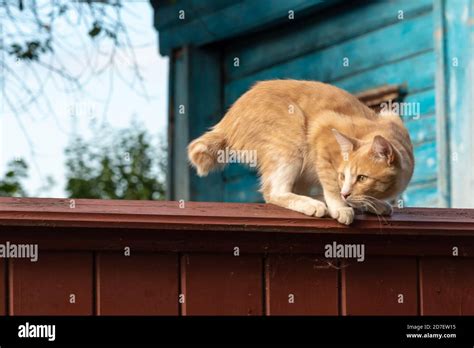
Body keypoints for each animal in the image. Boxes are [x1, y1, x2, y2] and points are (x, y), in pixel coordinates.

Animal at [187, 80, 412, 224]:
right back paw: (313, 204)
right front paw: (340, 206)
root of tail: (229, 118)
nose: (345, 192)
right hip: (291, 137)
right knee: (273, 192)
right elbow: (331, 186)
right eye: (342, 175)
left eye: (362, 178)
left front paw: (370, 204)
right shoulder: (322, 131)